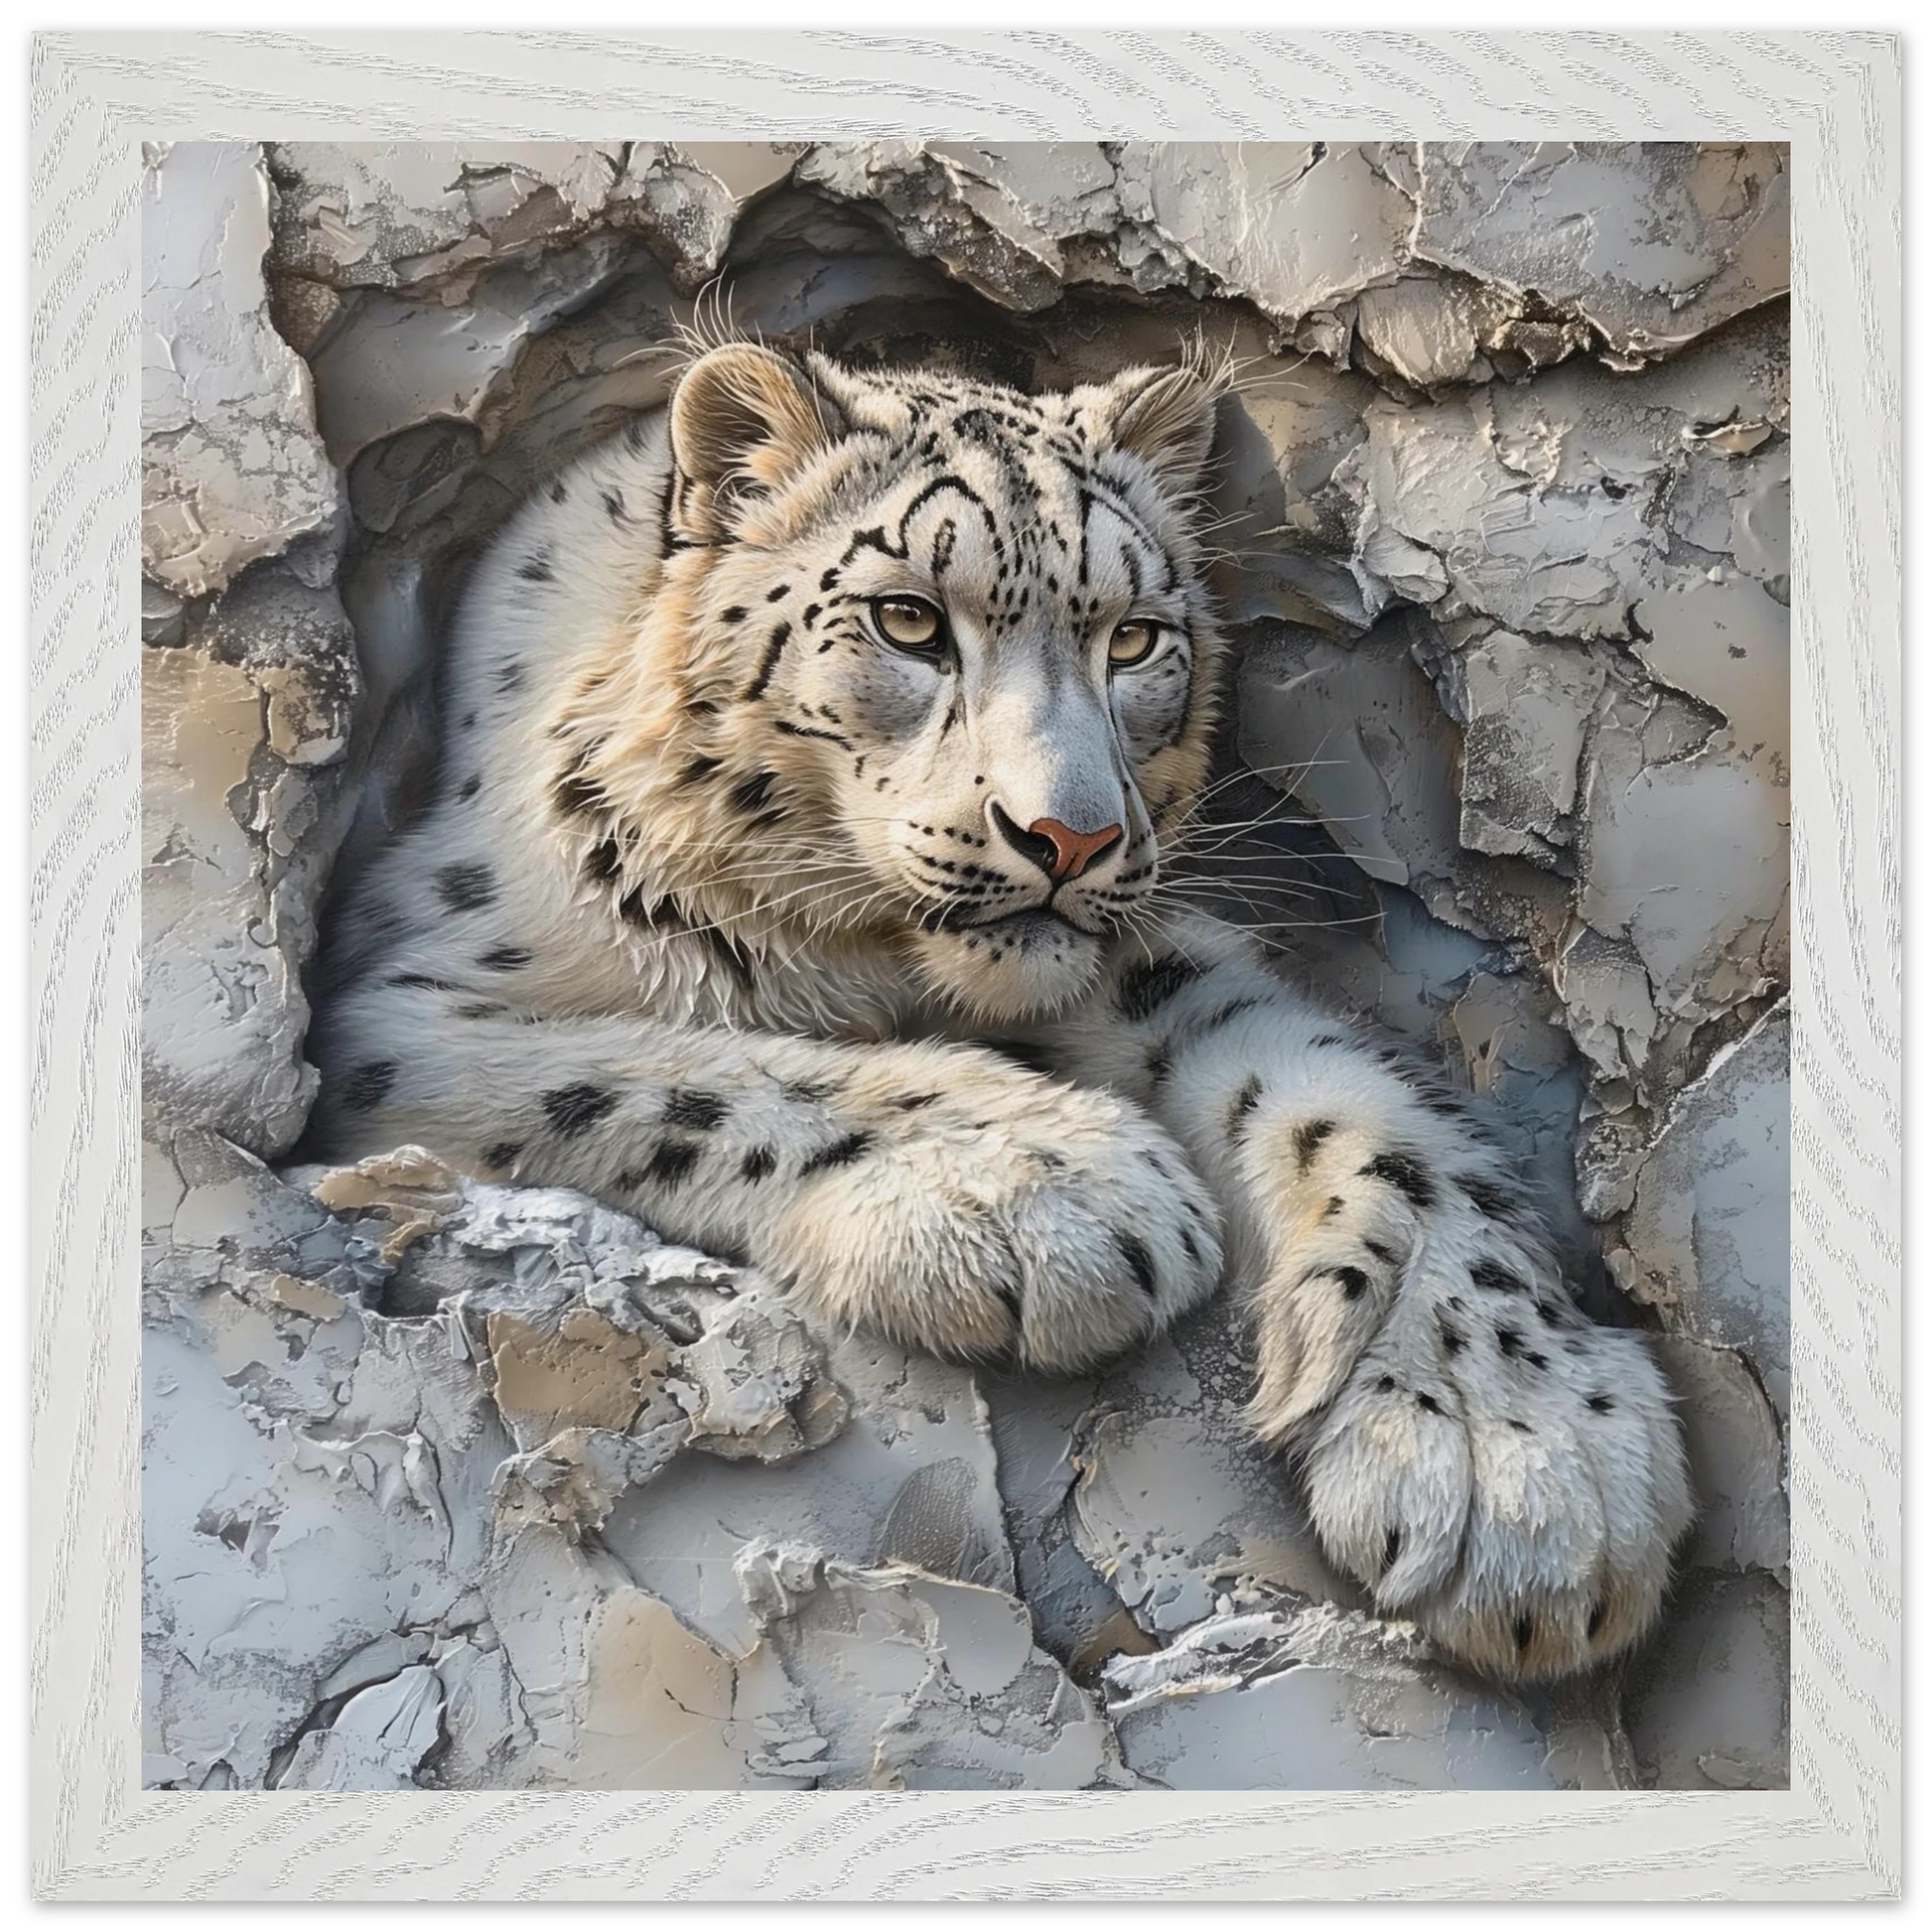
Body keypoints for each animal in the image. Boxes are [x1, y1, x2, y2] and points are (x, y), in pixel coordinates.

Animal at [300, 339, 1695, 1683]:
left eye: (1132, 638)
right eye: (907, 619)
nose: (1067, 835)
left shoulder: (1148, 957)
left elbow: (1338, 1094)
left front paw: (1519, 1450)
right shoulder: (395, 1011)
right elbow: (668, 1064)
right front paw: (1044, 1187)